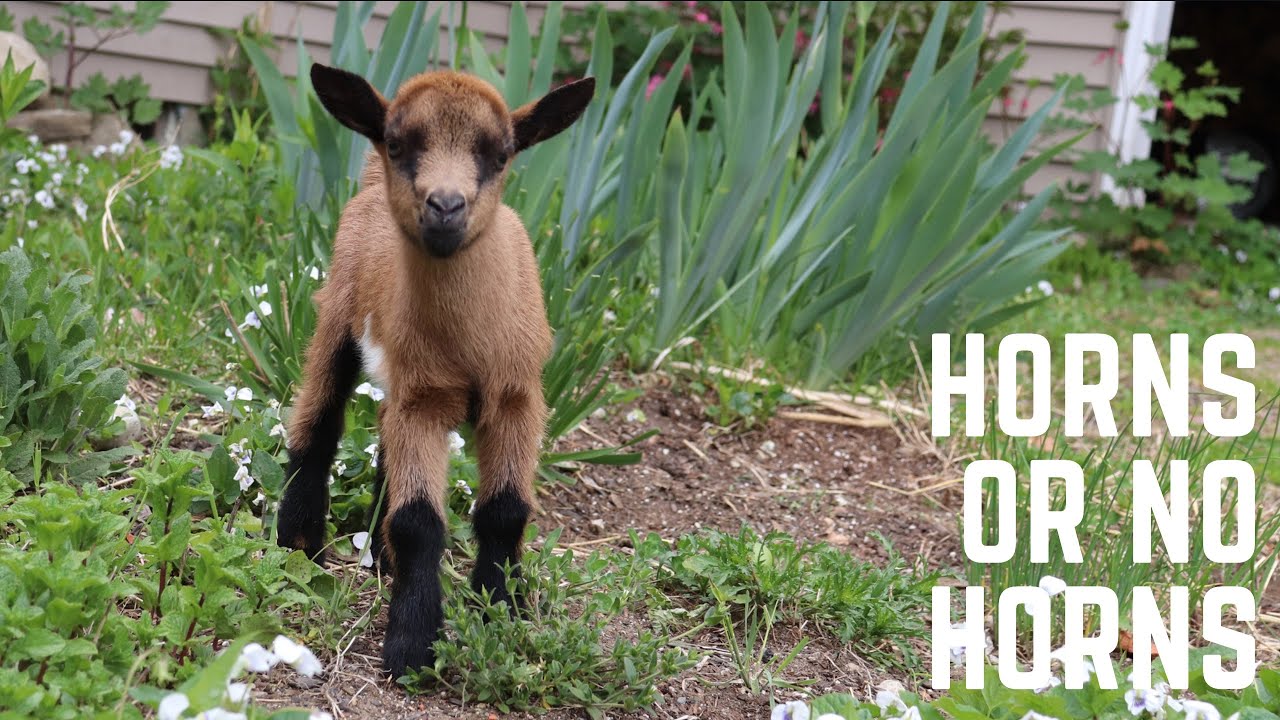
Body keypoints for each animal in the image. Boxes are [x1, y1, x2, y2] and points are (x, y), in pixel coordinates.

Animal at [276, 63, 595, 677]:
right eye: (400, 144)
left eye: (501, 154)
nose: (445, 207)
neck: (470, 345)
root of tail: (369, 185)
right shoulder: (423, 400)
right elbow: (419, 522)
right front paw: (413, 643)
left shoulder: (516, 396)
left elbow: (505, 511)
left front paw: (501, 611)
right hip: (338, 314)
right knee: (317, 422)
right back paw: (298, 546)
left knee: (380, 436)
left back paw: (377, 558)